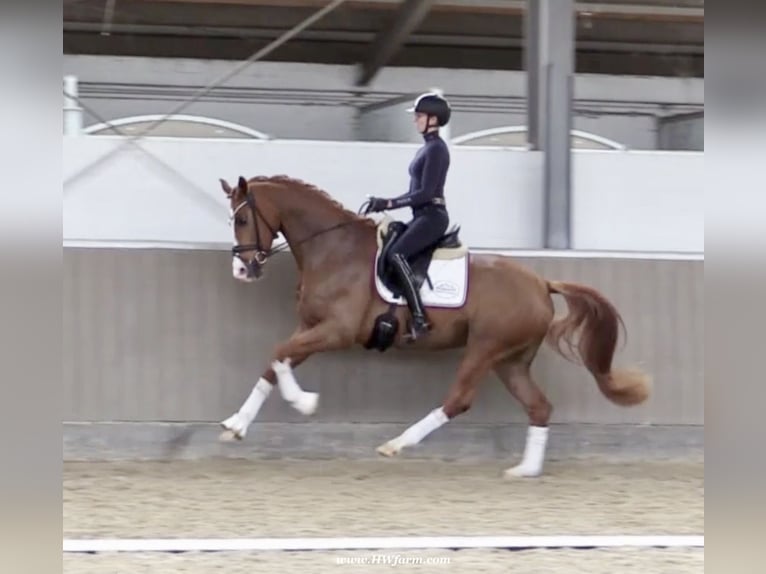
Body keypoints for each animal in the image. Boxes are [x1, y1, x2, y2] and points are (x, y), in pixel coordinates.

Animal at [218, 173, 656, 480]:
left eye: (243, 219)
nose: (241, 270)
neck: (333, 248)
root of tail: (541, 283)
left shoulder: (337, 330)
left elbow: (278, 355)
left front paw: (304, 403)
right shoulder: (311, 327)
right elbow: (275, 363)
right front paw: (237, 425)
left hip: (485, 348)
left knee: (459, 400)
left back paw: (396, 444)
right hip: (510, 360)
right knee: (538, 406)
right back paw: (525, 470)